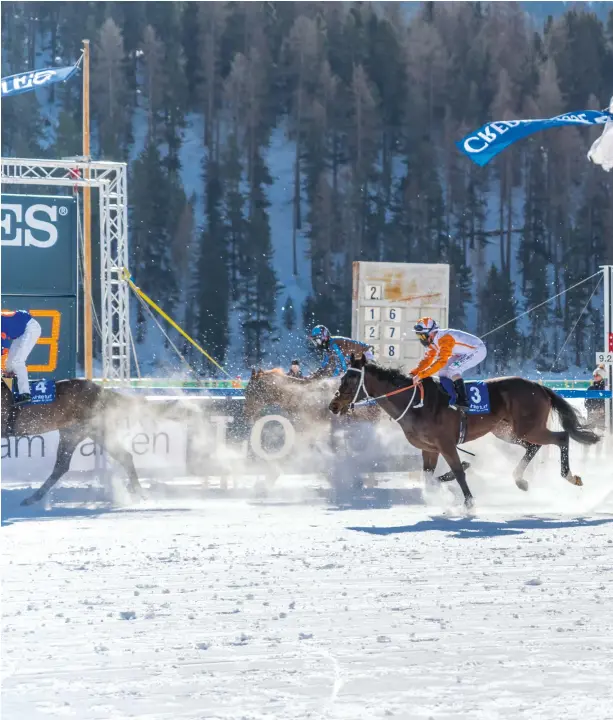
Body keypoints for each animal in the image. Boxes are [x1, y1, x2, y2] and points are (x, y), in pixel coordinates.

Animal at [328, 358, 600, 510]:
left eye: (350, 380)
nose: (333, 405)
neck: (415, 402)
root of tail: (539, 387)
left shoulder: (446, 445)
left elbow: (459, 472)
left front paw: (469, 502)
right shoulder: (429, 449)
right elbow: (428, 478)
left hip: (529, 427)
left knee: (561, 437)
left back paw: (570, 476)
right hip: (506, 431)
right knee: (533, 446)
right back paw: (520, 480)